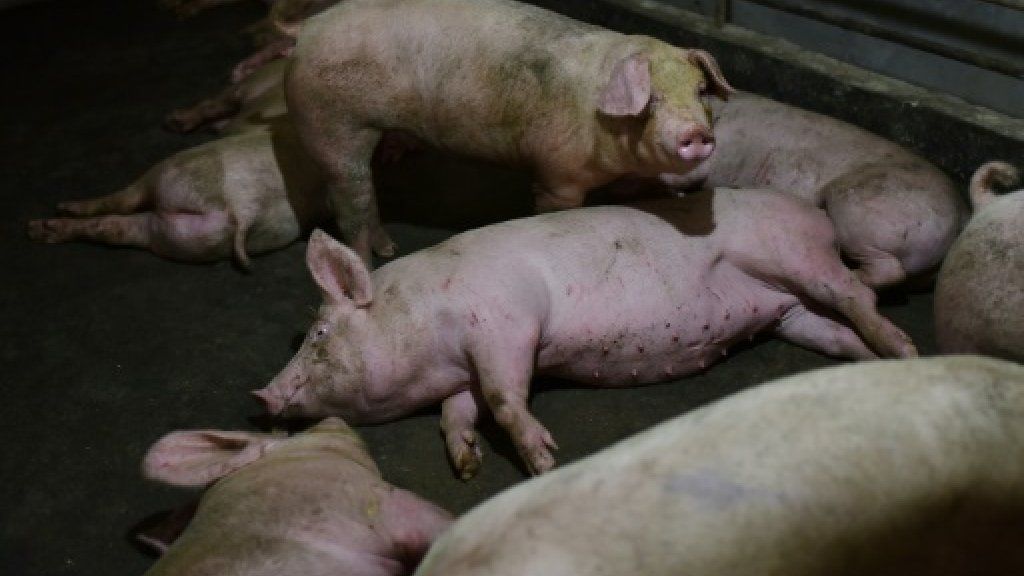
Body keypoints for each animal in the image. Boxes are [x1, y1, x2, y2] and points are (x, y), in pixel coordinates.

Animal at [254, 188, 916, 479]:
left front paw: (545, 462)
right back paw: (873, 362)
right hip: (790, 313)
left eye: (318, 333)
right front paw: (466, 465)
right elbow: (456, 410)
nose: (262, 396)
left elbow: (504, 397)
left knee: (857, 291)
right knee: (838, 328)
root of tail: (817, 214)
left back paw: (904, 349)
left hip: (792, 255)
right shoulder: (465, 367)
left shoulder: (507, 324)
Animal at [285, 0, 735, 262]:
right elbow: (556, 206)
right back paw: (372, 261)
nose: (696, 132)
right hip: (334, 127)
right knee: (351, 205)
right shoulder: (556, 175)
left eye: (700, 91)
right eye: (652, 99)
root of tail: (306, 30)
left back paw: (388, 247)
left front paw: (673, 196)